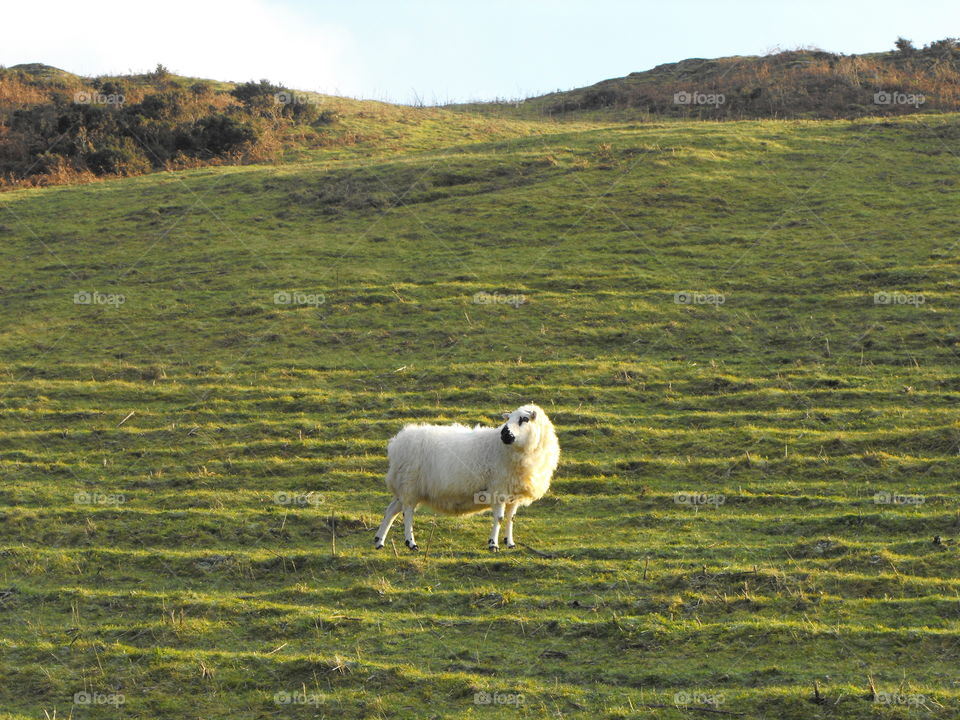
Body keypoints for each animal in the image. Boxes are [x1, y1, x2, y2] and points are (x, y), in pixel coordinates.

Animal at [374, 404, 559, 552]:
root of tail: (397, 443)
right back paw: (411, 543)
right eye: (509, 419)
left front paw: (510, 543)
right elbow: (499, 518)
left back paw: (379, 541)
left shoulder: (513, 493)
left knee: (391, 510)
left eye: (524, 419)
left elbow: (510, 518)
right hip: (410, 485)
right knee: (407, 513)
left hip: (405, 487)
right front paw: (493, 544)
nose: (504, 434)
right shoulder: (498, 489)